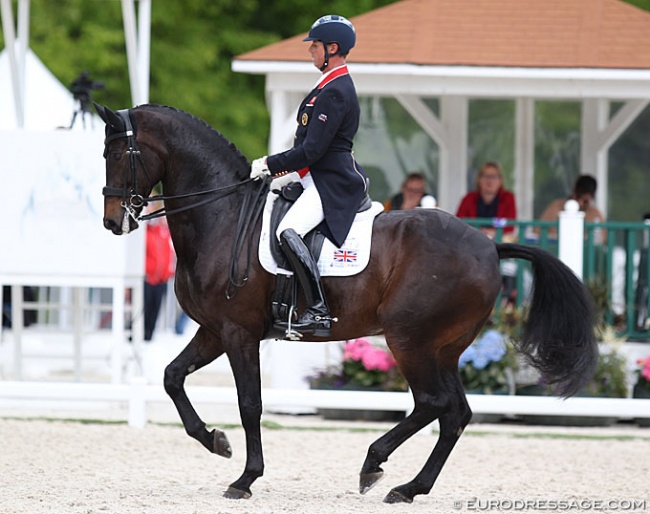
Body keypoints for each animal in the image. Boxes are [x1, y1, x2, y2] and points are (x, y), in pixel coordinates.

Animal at [93, 102, 596, 502]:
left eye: (117, 155)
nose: (114, 222)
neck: (222, 216)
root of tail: (491, 246)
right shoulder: (214, 330)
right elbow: (171, 377)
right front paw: (215, 441)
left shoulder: (239, 332)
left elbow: (249, 403)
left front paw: (245, 478)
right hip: (444, 348)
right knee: (455, 413)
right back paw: (410, 487)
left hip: (409, 339)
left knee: (432, 403)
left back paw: (373, 465)